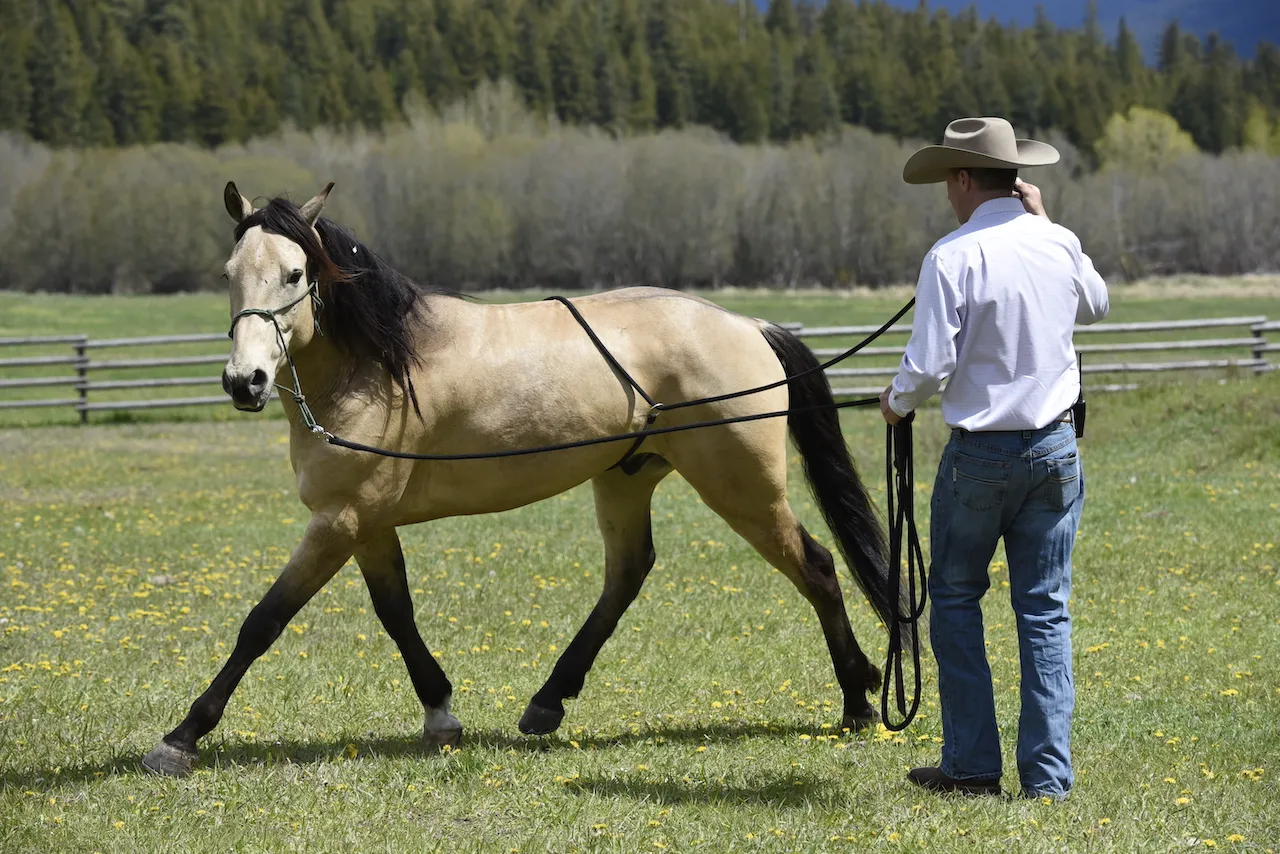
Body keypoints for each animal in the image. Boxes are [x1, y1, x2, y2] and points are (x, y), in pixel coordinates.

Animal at [141, 181, 898, 776]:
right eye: (228, 272)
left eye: (297, 274)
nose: (245, 381)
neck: (378, 367)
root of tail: (747, 324)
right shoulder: (367, 524)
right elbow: (396, 614)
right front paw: (441, 714)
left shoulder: (340, 522)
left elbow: (264, 621)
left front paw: (181, 737)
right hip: (627, 480)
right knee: (628, 573)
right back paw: (547, 702)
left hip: (742, 488)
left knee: (816, 567)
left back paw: (858, 701)